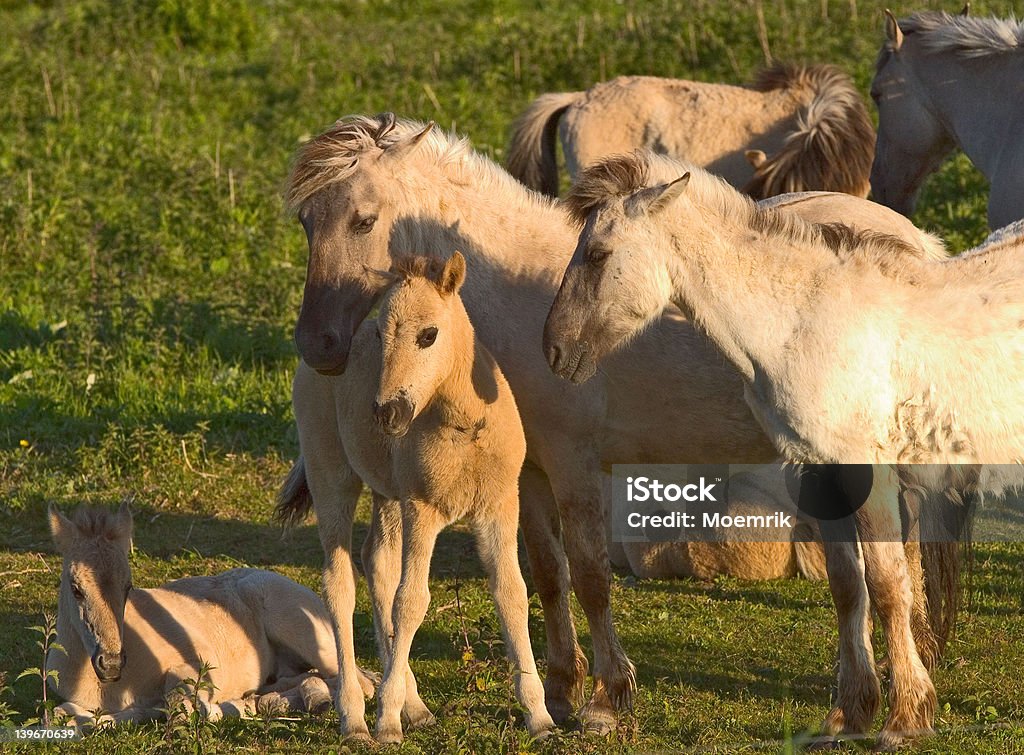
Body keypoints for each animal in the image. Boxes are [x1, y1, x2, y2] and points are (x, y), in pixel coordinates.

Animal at [278, 253, 552, 741]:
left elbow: (512, 595)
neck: (465, 426)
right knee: (340, 584)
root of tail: (316, 360)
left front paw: (539, 715)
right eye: (380, 335)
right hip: (333, 478)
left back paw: (415, 705)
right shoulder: (422, 510)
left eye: (429, 335)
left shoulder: (500, 507)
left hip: (387, 494)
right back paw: (355, 719)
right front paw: (386, 720)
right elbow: (412, 602)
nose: (388, 412)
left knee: (377, 563)